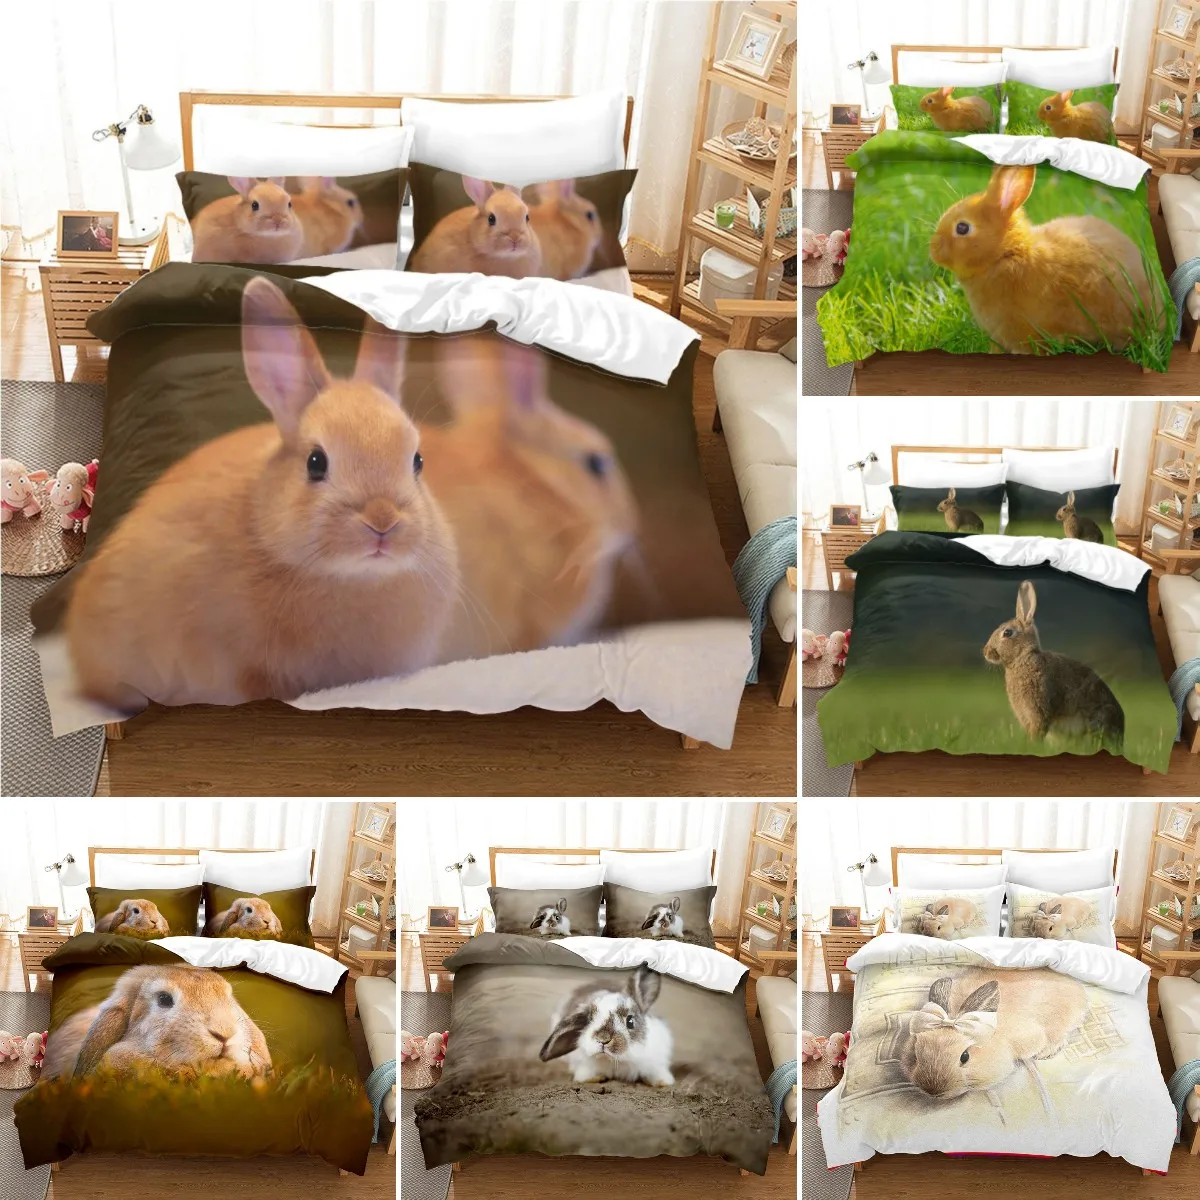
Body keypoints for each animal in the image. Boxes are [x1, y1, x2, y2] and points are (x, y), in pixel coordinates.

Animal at [538, 963, 673, 1086]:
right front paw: (594, 1078)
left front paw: (663, 1082)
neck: (617, 1061)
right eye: (589, 1019)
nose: (603, 1039)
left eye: (630, 1021)